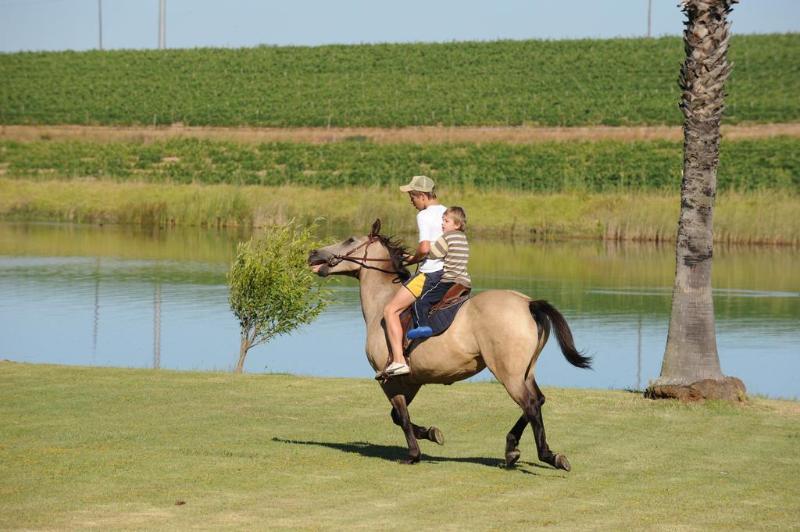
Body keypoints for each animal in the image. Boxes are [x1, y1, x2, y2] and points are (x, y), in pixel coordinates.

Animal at [310, 220, 592, 470]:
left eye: (350, 240)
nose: (314, 253)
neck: (383, 304)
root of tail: (527, 303)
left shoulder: (390, 381)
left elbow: (401, 417)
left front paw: (414, 454)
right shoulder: (412, 381)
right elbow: (398, 417)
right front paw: (431, 433)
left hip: (508, 373)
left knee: (530, 404)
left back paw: (547, 455)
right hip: (526, 371)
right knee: (538, 400)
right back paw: (512, 449)